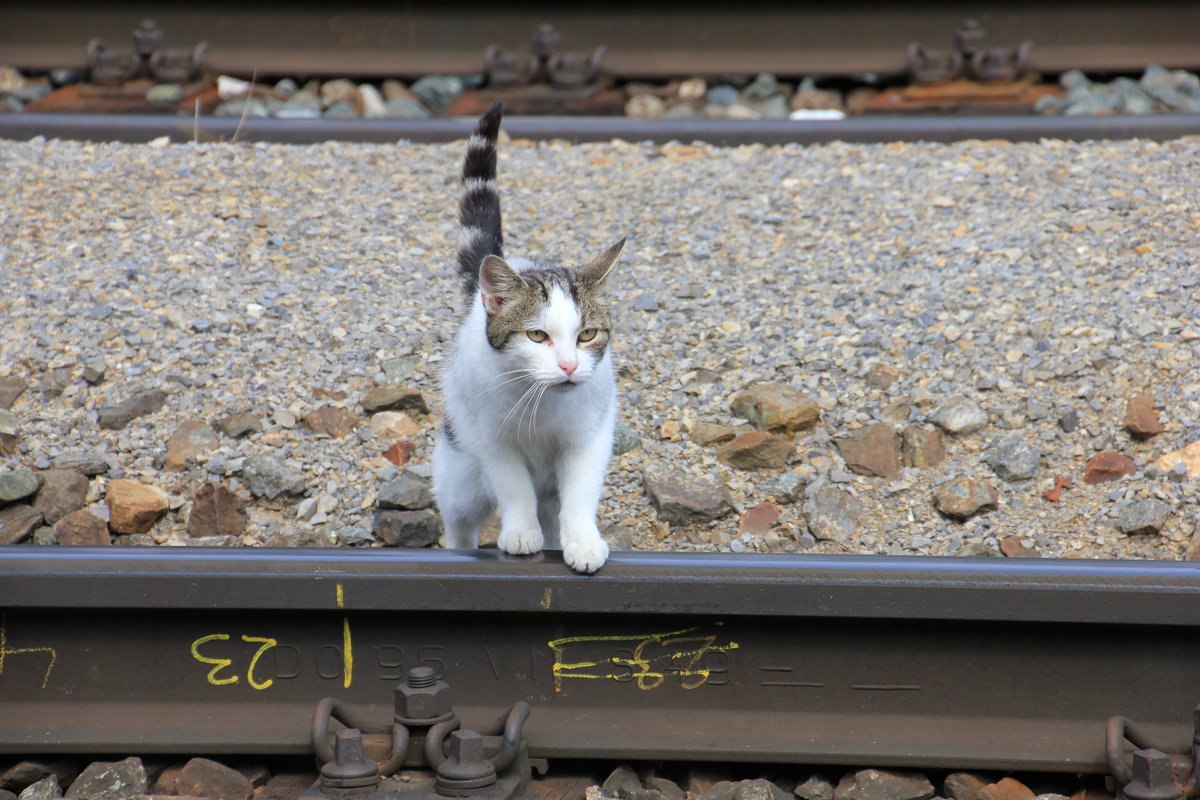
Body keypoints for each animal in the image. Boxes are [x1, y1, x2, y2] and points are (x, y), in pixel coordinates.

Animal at [434, 101, 628, 575]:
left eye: (587, 334)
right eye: (537, 335)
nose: (569, 365)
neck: (543, 403)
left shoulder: (590, 436)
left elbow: (580, 494)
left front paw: (583, 542)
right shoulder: (493, 440)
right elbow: (513, 488)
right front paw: (521, 533)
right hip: (462, 472)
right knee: (458, 519)